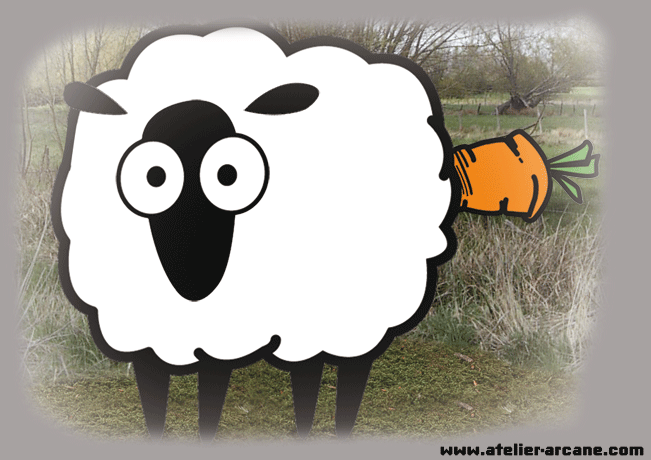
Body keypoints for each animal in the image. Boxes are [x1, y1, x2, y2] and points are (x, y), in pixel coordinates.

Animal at [51, 23, 461, 440]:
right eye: (155, 177)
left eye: (228, 174)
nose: (193, 278)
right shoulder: (149, 331)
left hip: (357, 313)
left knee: (343, 375)